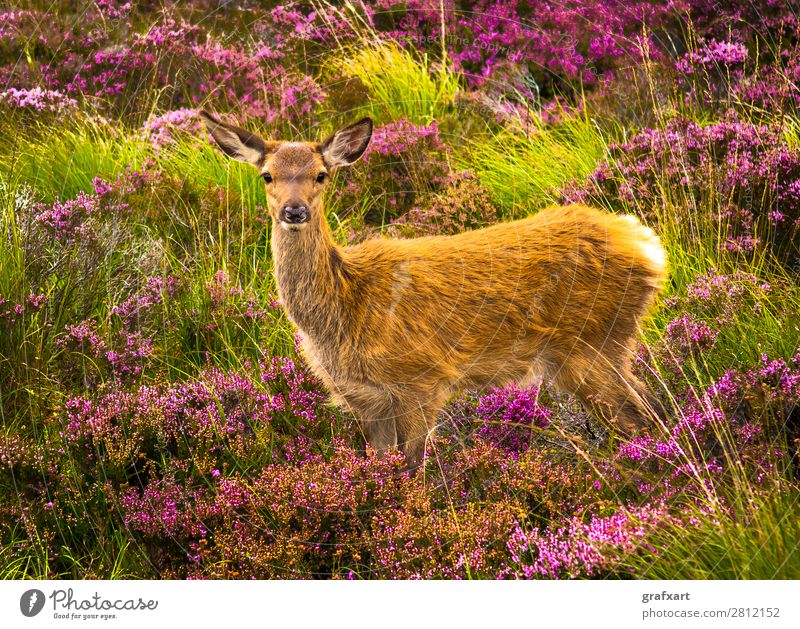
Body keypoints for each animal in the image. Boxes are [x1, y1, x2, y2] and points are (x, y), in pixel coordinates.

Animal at [202, 111, 668, 466]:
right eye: (266, 175)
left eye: (321, 175)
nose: (294, 211)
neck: (346, 307)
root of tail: (648, 246)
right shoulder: (368, 401)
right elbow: (380, 470)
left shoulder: (422, 380)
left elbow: (413, 470)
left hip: (592, 342)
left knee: (644, 418)